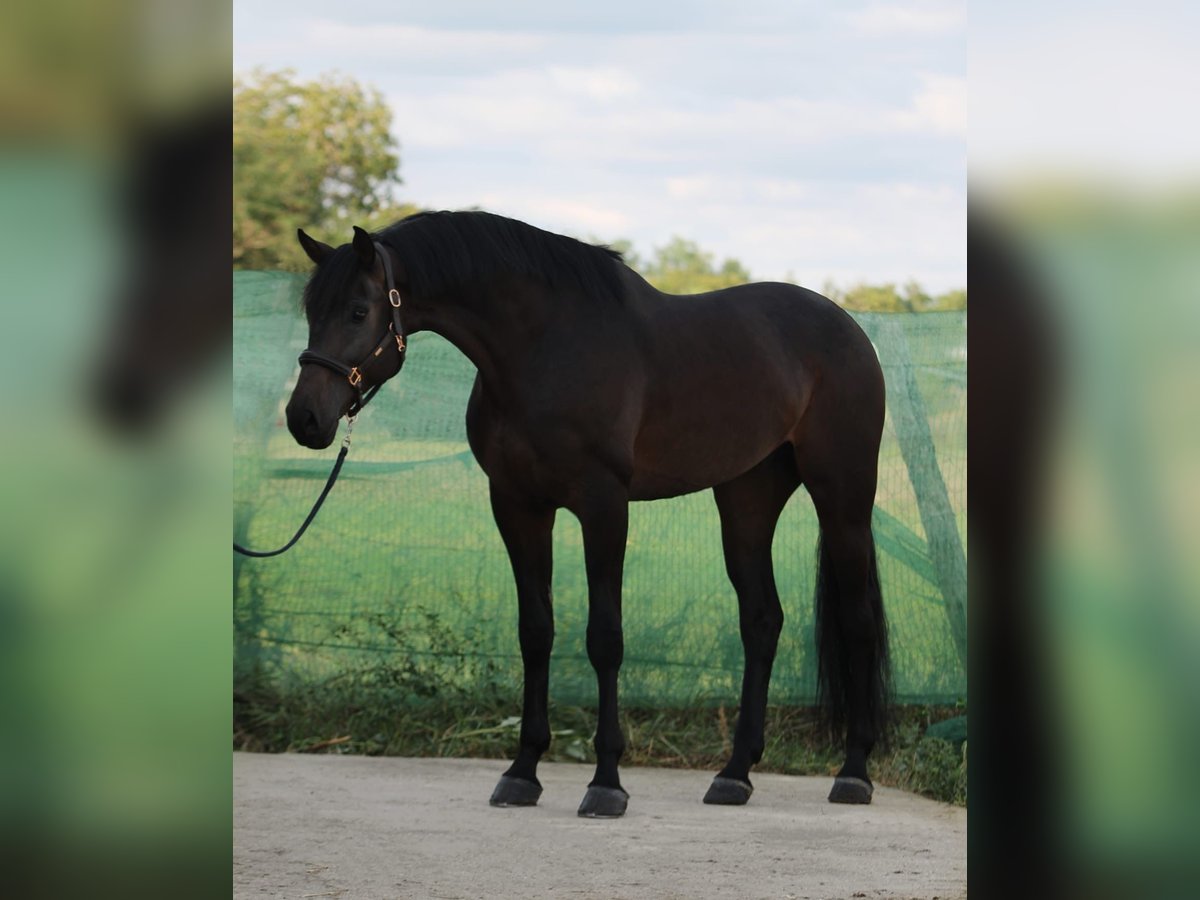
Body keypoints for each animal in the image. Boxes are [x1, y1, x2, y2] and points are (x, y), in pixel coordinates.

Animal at [285, 210, 892, 816]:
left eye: (358, 310)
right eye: (312, 311)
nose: (304, 419)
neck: (545, 348)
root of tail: (850, 329)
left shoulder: (603, 506)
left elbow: (605, 638)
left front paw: (606, 782)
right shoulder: (518, 505)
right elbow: (535, 632)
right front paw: (522, 773)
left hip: (842, 496)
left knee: (858, 620)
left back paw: (853, 773)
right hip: (747, 498)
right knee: (762, 620)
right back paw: (734, 775)